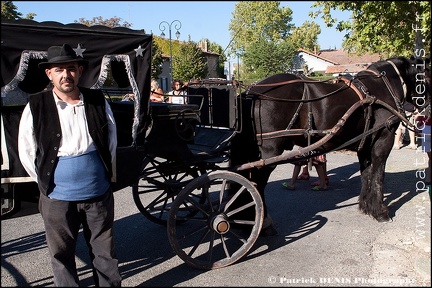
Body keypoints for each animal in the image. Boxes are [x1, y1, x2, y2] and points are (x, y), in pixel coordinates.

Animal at [230, 55, 428, 235]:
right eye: (426, 74)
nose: (424, 111)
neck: (382, 87)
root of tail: (251, 91)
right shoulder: (383, 141)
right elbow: (379, 175)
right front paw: (380, 212)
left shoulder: (364, 144)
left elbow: (366, 174)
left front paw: (365, 206)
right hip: (269, 153)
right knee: (256, 184)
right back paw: (262, 223)